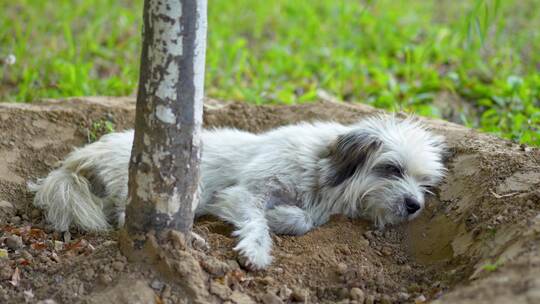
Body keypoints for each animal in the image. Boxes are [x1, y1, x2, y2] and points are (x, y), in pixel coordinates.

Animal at [28, 116, 448, 268]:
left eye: (424, 183)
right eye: (392, 168)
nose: (414, 205)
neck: (320, 169)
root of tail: (88, 152)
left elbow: (303, 219)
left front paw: (283, 217)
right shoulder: (246, 193)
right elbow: (259, 221)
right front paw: (258, 249)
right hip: (182, 188)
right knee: (125, 217)